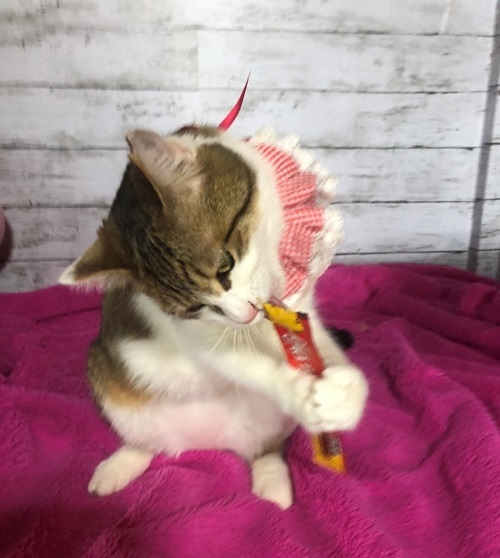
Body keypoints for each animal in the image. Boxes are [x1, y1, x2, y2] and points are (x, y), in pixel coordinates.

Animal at [59, 125, 368, 509]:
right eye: (195, 308)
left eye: (225, 265)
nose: (245, 314)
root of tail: (203, 441)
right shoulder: (198, 335)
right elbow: (236, 360)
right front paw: (296, 389)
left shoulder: (298, 302)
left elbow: (315, 340)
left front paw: (344, 397)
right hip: (109, 384)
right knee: (145, 439)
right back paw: (121, 464)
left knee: (265, 450)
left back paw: (272, 481)